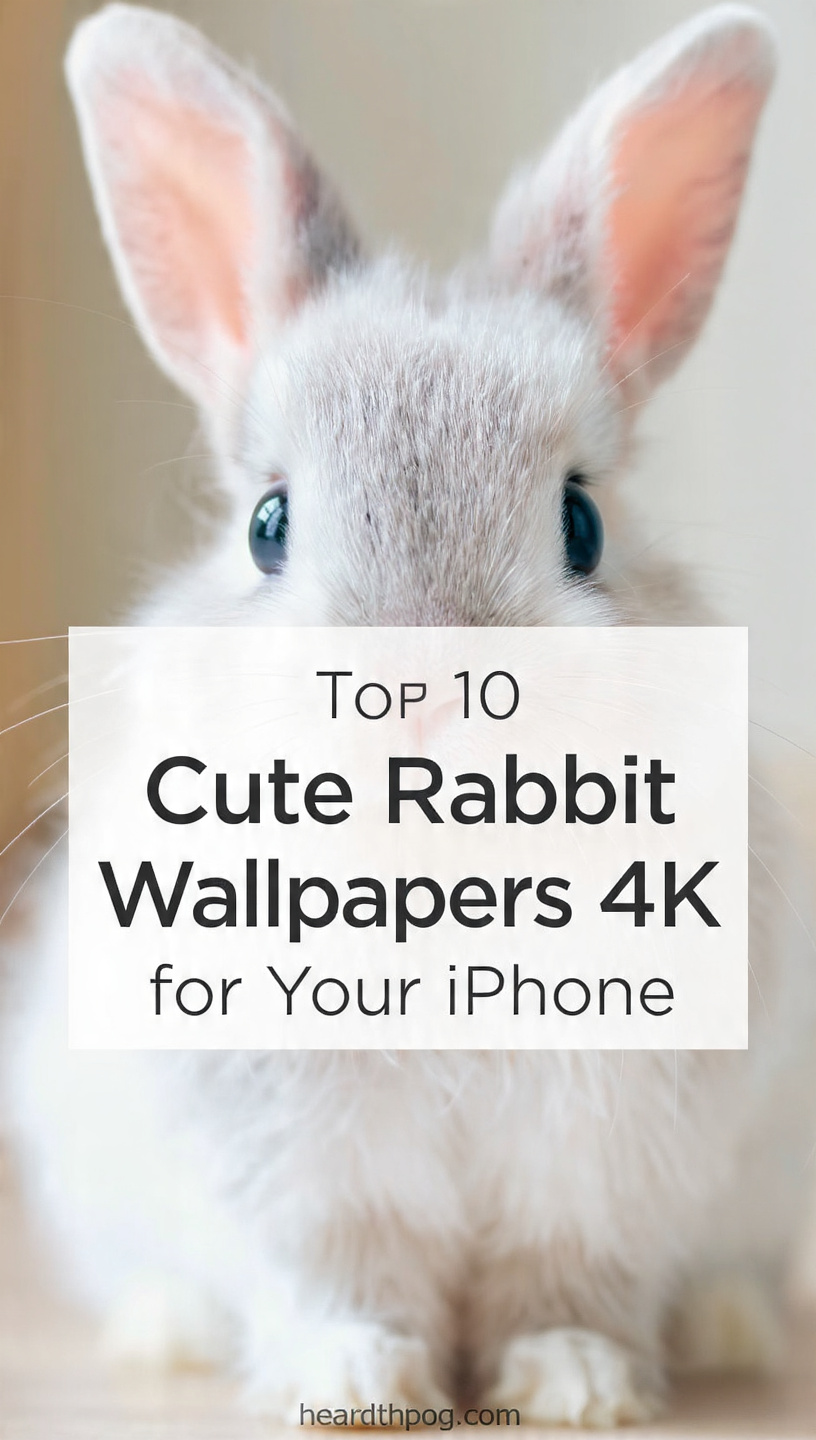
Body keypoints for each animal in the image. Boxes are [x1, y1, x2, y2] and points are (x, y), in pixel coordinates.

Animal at [4, 1, 815, 1427]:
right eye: (269, 524)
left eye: (581, 523)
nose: (424, 690)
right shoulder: (303, 1163)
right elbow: (345, 1270)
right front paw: (356, 1378)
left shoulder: (604, 1156)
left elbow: (567, 1271)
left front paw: (576, 1382)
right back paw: (164, 1329)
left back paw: (729, 1330)